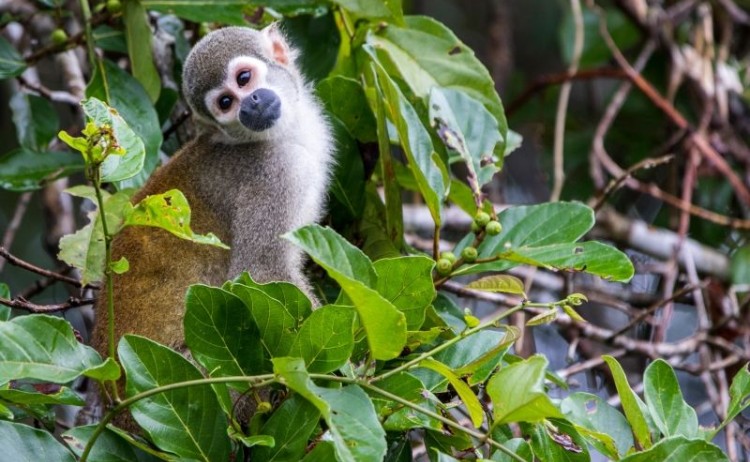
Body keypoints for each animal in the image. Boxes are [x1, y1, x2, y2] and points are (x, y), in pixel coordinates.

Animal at [83, 24, 333, 427]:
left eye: (244, 79)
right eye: (226, 103)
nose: (252, 105)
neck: (280, 135)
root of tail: (115, 411)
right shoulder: (274, 174)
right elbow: (262, 273)